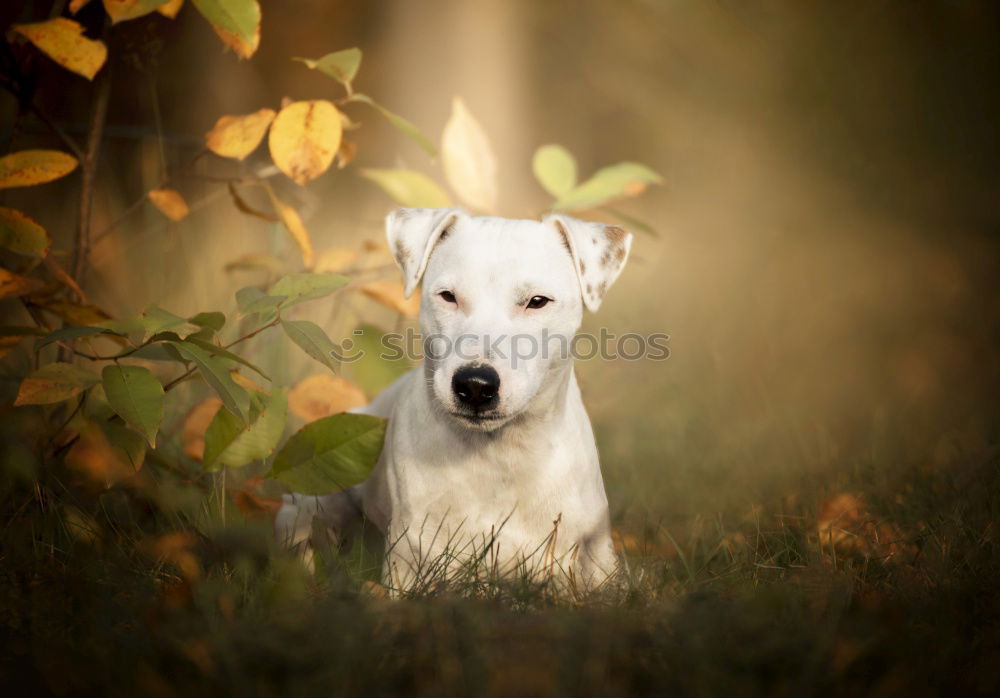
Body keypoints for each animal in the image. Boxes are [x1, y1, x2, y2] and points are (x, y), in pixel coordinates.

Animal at [274, 209, 632, 588]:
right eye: (448, 296)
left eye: (537, 301)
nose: (475, 384)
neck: (500, 455)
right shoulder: (413, 562)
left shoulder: (595, 559)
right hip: (311, 500)